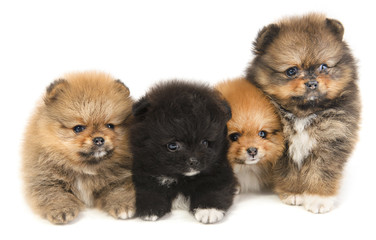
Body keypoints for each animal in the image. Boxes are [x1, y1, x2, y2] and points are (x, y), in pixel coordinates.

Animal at [21, 71, 136, 223]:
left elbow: (119, 189)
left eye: (110, 126)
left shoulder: (121, 175)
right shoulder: (44, 177)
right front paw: (62, 209)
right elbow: (54, 194)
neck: (85, 167)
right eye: (78, 128)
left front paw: (124, 205)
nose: (99, 139)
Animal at [129, 80, 235, 223]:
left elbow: (214, 189)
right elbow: (148, 189)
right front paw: (150, 209)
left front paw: (208, 210)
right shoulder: (145, 172)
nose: (194, 161)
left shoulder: (219, 172)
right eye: (172, 146)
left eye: (205, 142)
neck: (182, 178)